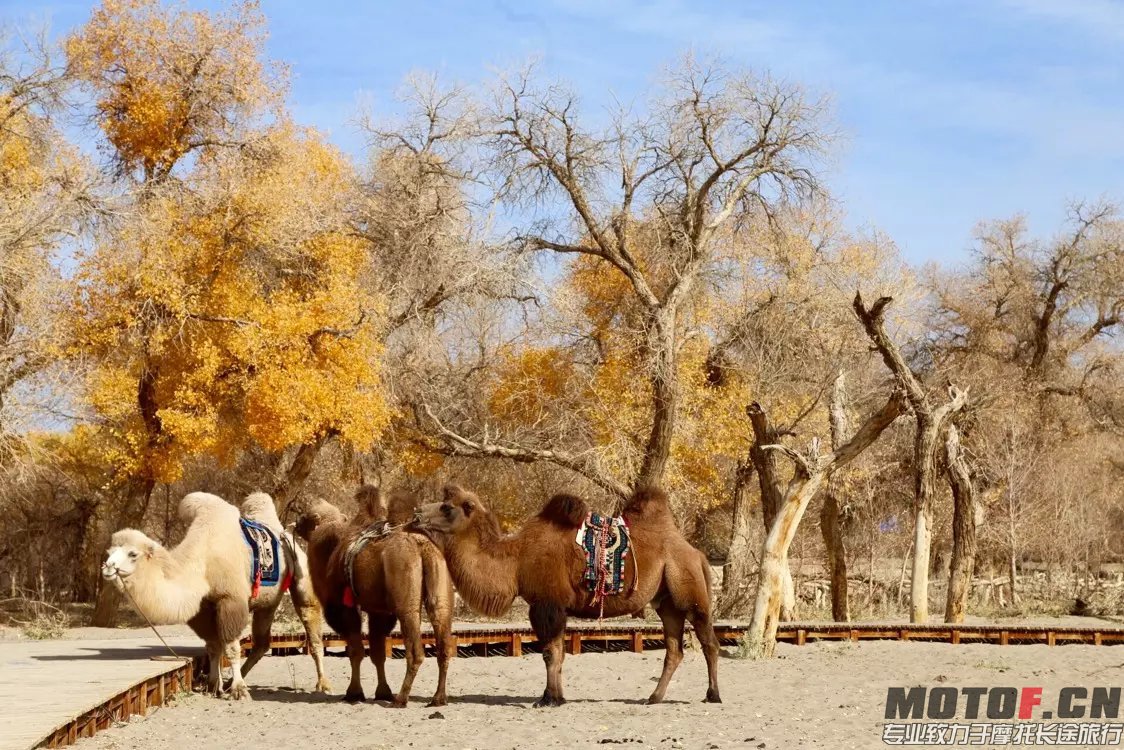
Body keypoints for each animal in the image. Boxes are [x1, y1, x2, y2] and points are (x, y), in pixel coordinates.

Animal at [101, 492, 330, 697]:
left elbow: (231, 647)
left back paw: (323, 684)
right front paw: (214, 685)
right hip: (267, 602)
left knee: (312, 625)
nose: (107, 567)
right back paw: (230, 681)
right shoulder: (203, 607)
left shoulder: (230, 600)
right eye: (110, 552)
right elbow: (213, 646)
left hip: (302, 574)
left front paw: (238, 690)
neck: (203, 563)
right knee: (262, 642)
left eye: (133, 554)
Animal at [298, 490, 460, 706]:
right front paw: (382, 692)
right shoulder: (378, 611)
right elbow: (377, 653)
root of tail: (421, 546)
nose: (296, 523)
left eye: (307, 515)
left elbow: (356, 651)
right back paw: (438, 698)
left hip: (405, 598)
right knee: (443, 643)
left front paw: (354, 693)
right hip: (440, 587)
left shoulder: (345, 607)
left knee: (416, 650)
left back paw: (401, 698)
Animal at [413, 483, 719, 706]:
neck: (516, 560)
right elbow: (559, 654)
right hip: (667, 603)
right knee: (674, 650)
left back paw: (712, 696)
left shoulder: (546, 604)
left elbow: (550, 653)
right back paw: (653, 698)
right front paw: (557, 697)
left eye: (446, 507)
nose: (416, 514)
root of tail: (696, 553)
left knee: (709, 643)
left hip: (690, 592)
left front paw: (548, 699)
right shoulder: (555, 608)